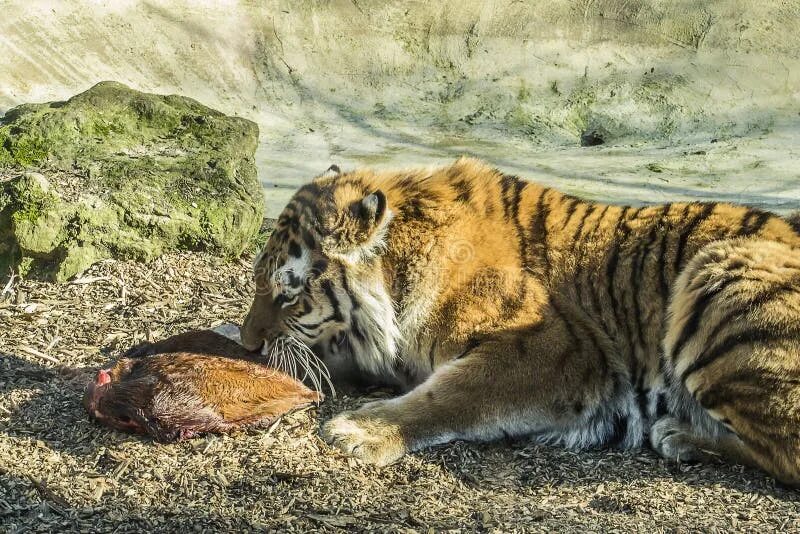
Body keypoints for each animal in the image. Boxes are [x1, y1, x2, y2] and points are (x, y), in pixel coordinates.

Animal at [241, 157, 800, 488]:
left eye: (288, 293)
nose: (247, 343)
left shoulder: (553, 348)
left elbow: (452, 393)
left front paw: (357, 430)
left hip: (720, 273)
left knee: (787, 454)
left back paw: (680, 434)